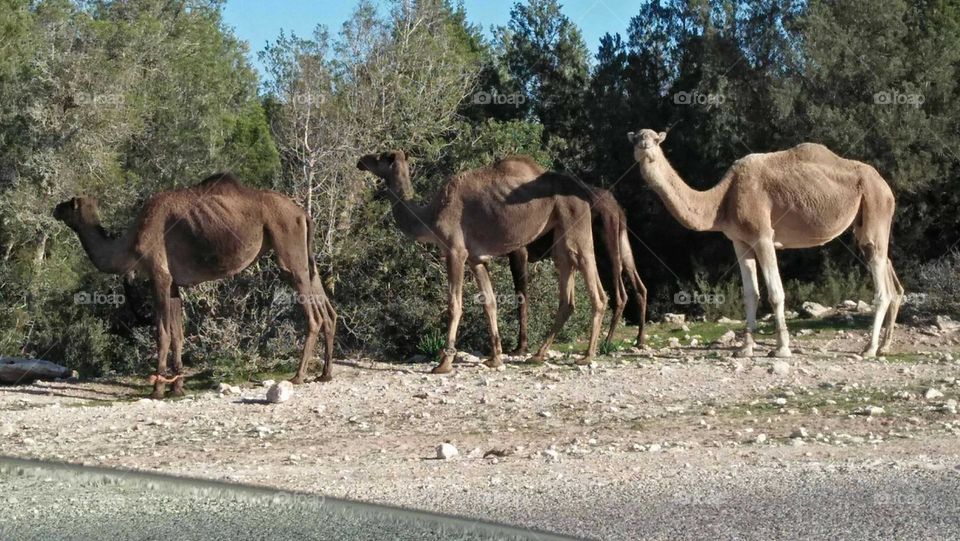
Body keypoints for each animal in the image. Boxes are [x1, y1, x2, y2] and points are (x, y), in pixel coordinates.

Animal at [53, 173, 337, 399]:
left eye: (69, 204)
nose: (55, 208)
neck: (130, 243)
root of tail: (303, 214)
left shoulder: (159, 276)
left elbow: (162, 333)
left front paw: (157, 390)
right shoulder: (173, 283)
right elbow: (178, 333)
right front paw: (177, 387)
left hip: (288, 249)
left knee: (313, 315)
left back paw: (298, 376)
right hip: (304, 258)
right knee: (327, 309)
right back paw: (325, 373)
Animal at [357, 151, 607, 373]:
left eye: (380, 157)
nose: (361, 161)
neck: (430, 215)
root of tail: (584, 191)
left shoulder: (455, 251)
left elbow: (454, 304)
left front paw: (444, 364)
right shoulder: (476, 259)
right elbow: (489, 302)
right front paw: (495, 358)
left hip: (575, 221)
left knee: (592, 281)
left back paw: (587, 356)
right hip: (561, 233)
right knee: (570, 288)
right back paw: (538, 354)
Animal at [508, 187, 647, 353]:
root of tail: (618, 209)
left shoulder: (519, 251)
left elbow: (521, 297)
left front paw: (521, 346)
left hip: (605, 246)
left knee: (620, 295)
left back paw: (606, 343)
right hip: (622, 242)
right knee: (639, 287)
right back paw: (639, 340)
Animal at [628, 129, 903, 358]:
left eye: (656, 139)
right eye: (636, 137)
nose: (643, 145)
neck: (722, 200)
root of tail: (886, 187)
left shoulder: (763, 236)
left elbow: (775, 293)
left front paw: (781, 349)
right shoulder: (739, 241)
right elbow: (751, 293)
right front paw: (744, 349)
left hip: (875, 205)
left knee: (881, 282)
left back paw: (869, 348)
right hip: (865, 220)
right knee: (888, 271)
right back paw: (883, 346)